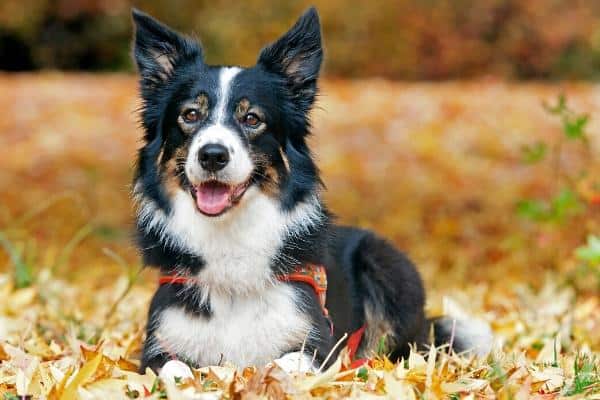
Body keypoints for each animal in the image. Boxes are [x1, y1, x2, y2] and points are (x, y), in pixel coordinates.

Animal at [129, 7, 490, 376]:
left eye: (252, 118)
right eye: (190, 114)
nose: (212, 155)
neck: (229, 237)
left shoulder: (317, 345)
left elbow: (280, 365)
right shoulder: (157, 348)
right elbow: (176, 371)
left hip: (385, 263)